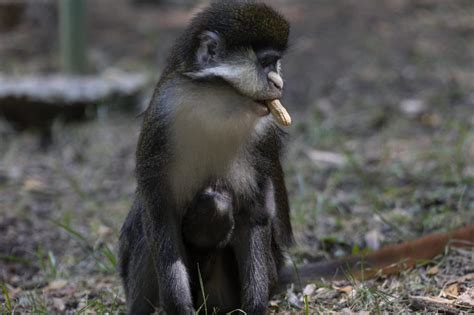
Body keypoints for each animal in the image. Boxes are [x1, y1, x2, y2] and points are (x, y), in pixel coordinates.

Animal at [119, 1, 292, 314]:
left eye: (275, 63)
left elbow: (255, 215)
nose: (278, 82)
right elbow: (159, 216)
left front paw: (255, 307)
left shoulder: (262, 140)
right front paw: (179, 308)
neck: (217, 107)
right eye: (265, 63)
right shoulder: (160, 123)